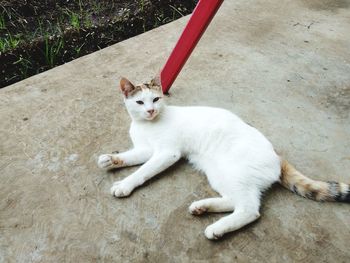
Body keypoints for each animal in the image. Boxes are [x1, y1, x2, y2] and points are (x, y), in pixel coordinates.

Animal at [97, 77, 350, 240]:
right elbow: (131, 157)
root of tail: (277, 156)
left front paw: (125, 185)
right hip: (219, 174)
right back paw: (202, 207)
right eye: (140, 102)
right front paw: (111, 159)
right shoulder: (145, 149)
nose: (150, 110)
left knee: (250, 209)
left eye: (156, 99)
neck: (146, 125)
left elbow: (142, 171)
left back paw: (216, 229)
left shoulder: (166, 153)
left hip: (234, 173)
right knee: (234, 201)